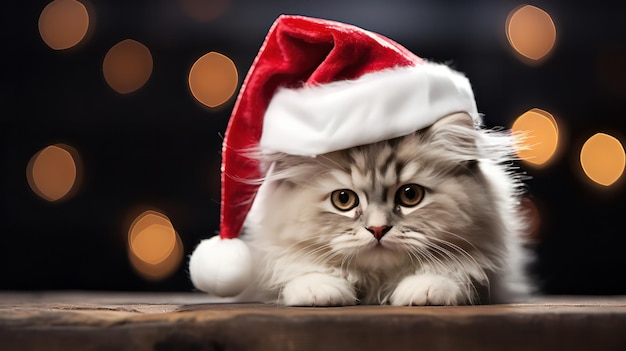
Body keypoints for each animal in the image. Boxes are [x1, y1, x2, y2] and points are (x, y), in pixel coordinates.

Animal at [239, 113, 532, 308]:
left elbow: (450, 272)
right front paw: (319, 289)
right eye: (343, 199)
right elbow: (302, 269)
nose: (378, 229)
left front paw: (426, 288)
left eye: (410, 195)